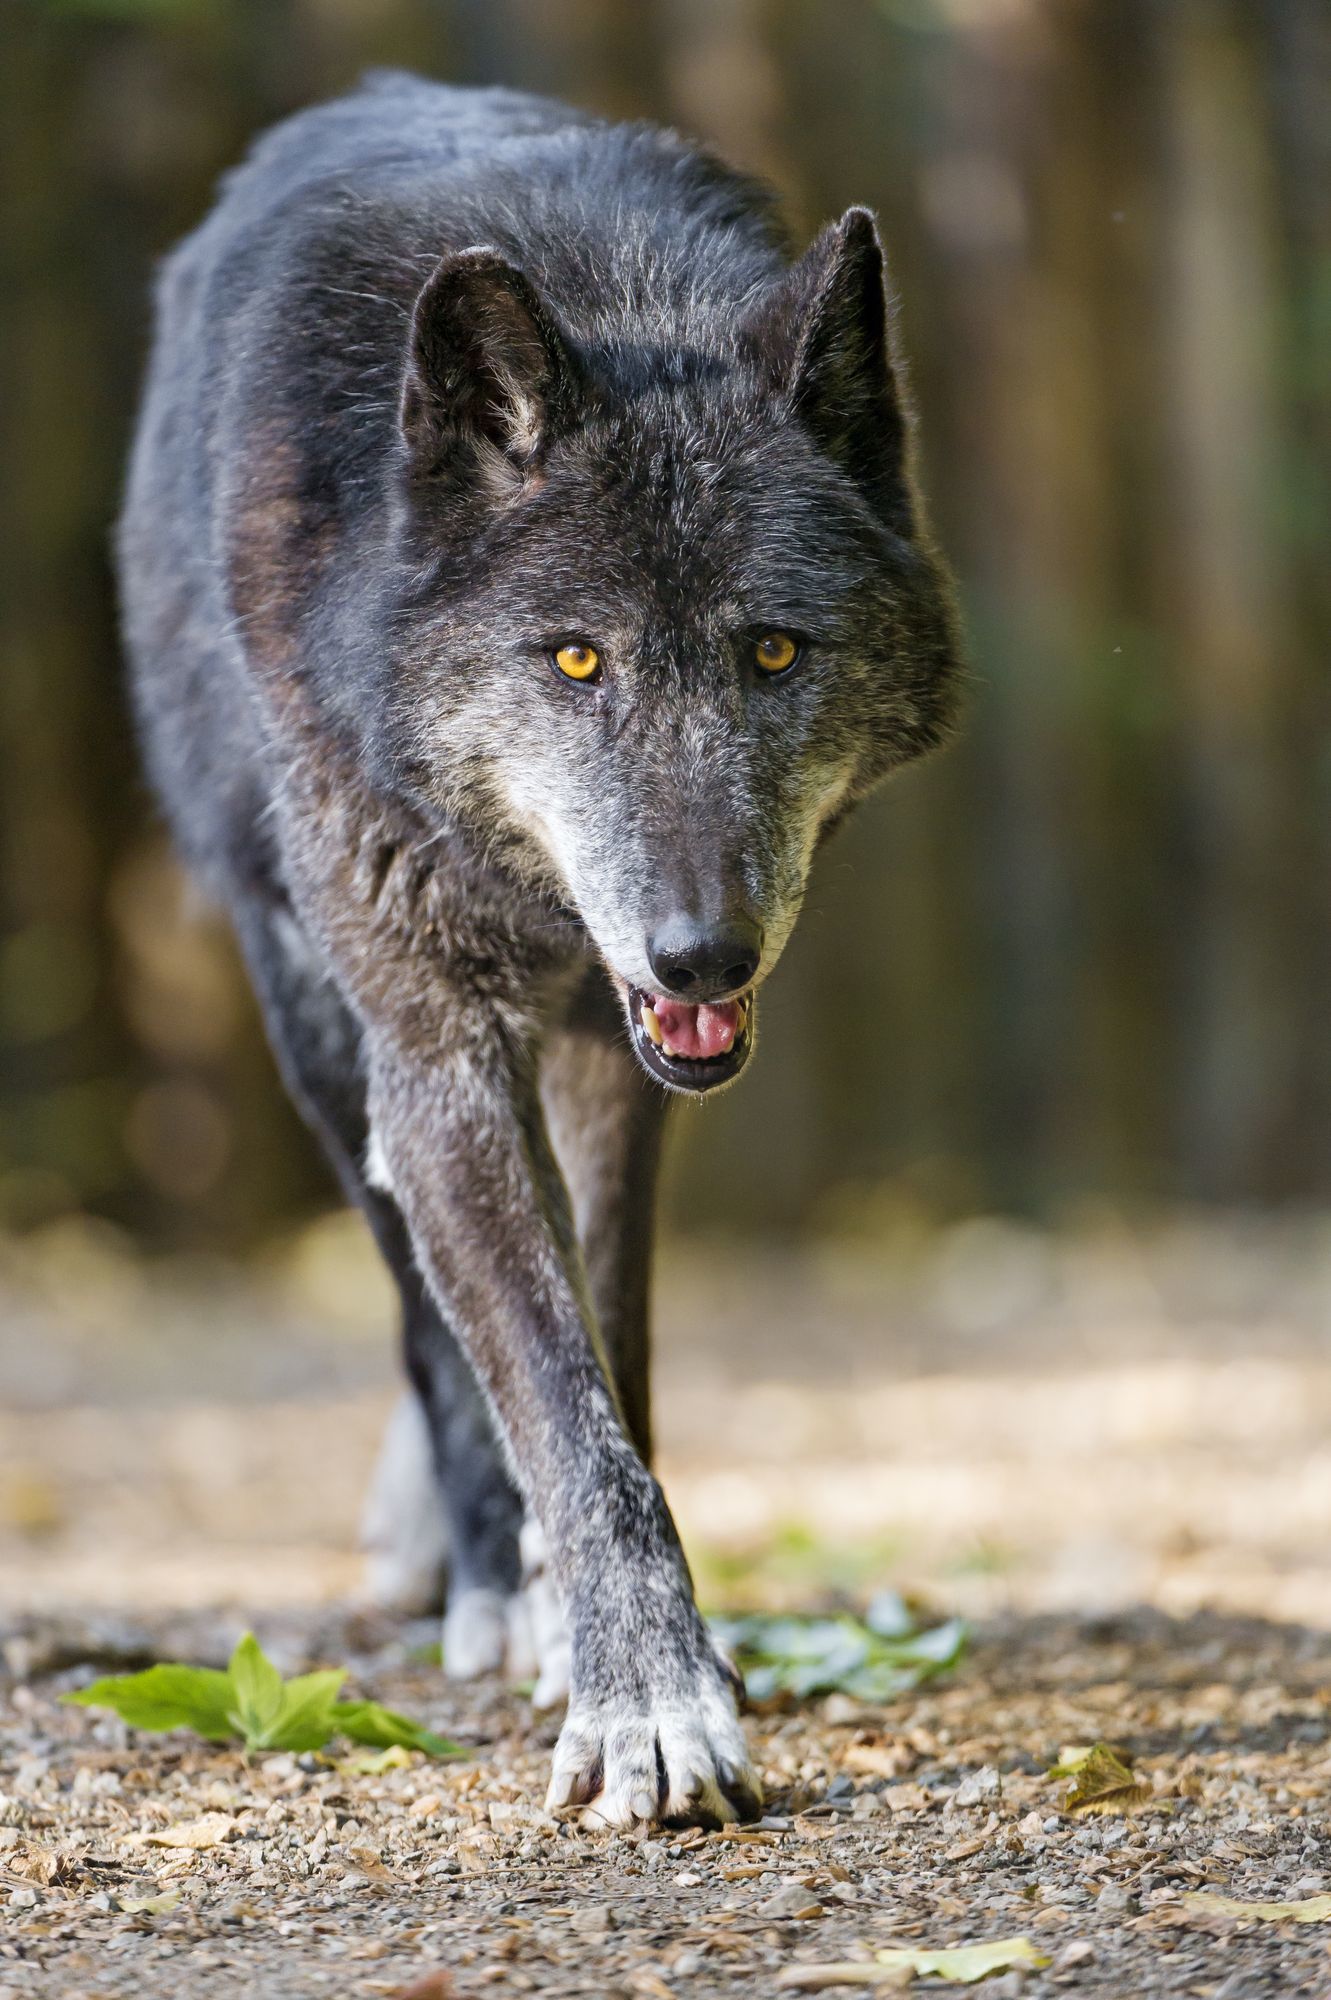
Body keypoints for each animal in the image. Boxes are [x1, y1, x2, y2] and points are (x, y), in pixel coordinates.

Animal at [119, 74, 959, 1832]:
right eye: (574, 660)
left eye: (773, 650)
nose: (700, 955)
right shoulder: (436, 1053)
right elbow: (545, 1390)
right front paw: (638, 1692)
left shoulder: (611, 1063)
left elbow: (612, 1352)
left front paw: (638, 1652)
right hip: (313, 1026)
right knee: (417, 1314)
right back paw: (481, 1567)